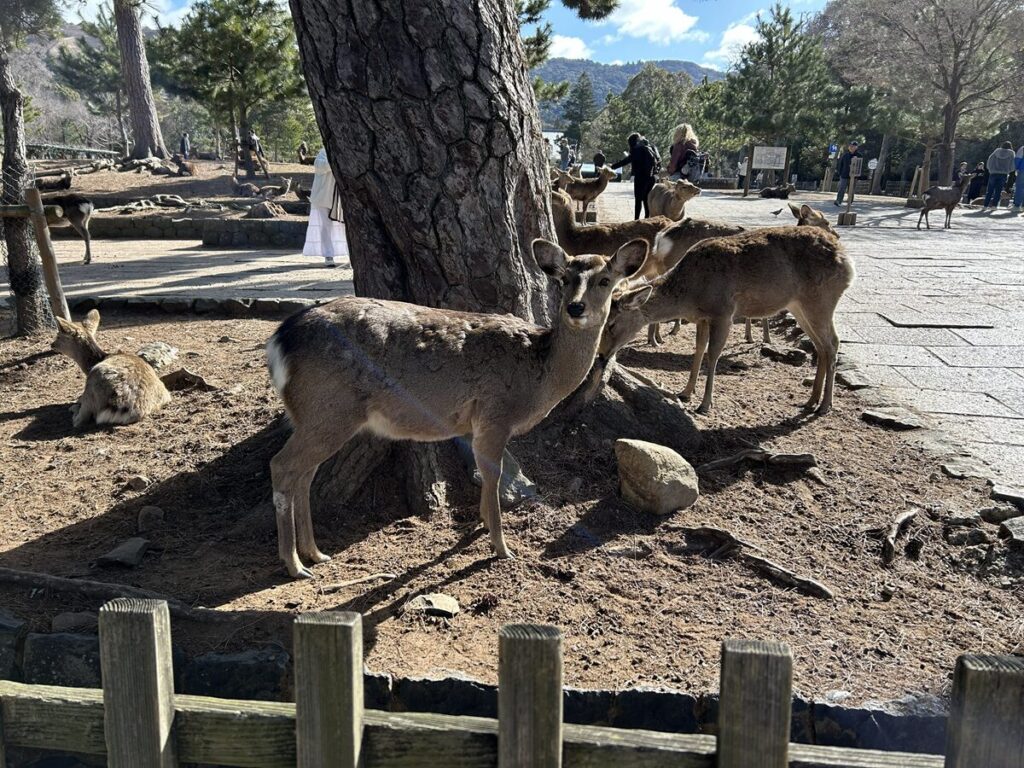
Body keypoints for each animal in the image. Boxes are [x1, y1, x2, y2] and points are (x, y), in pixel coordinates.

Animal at [265, 238, 650, 579]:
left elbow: (486, 475)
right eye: (565, 278)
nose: (575, 308)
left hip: (318, 416)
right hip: (329, 408)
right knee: (282, 465)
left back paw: (316, 553)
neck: (539, 379)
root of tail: (279, 340)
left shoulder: (477, 425)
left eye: (605, 281)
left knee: (305, 473)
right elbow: (493, 475)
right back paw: (295, 565)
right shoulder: (495, 414)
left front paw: (481, 525)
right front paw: (501, 547)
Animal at [600, 222, 854, 416]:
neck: (690, 294)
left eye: (611, 324)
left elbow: (713, 354)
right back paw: (811, 401)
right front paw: (685, 392)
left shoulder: (722, 312)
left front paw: (705, 404)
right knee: (821, 346)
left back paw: (824, 406)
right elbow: (699, 349)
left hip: (821, 300)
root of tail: (848, 263)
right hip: (798, 305)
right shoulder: (702, 317)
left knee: (833, 343)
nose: (601, 355)